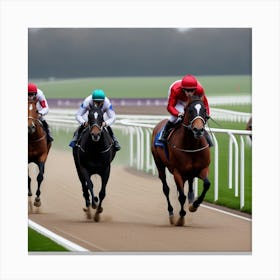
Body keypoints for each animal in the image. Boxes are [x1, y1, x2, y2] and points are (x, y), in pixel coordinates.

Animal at [152, 95, 211, 225]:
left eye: (204, 110)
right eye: (190, 110)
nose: (198, 130)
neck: (191, 146)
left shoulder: (203, 169)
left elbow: (207, 184)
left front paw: (194, 205)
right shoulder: (177, 172)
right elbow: (181, 196)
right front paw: (181, 217)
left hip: (189, 172)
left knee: (189, 184)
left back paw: (191, 199)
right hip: (159, 164)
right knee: (166, 189)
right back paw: (171, 213)